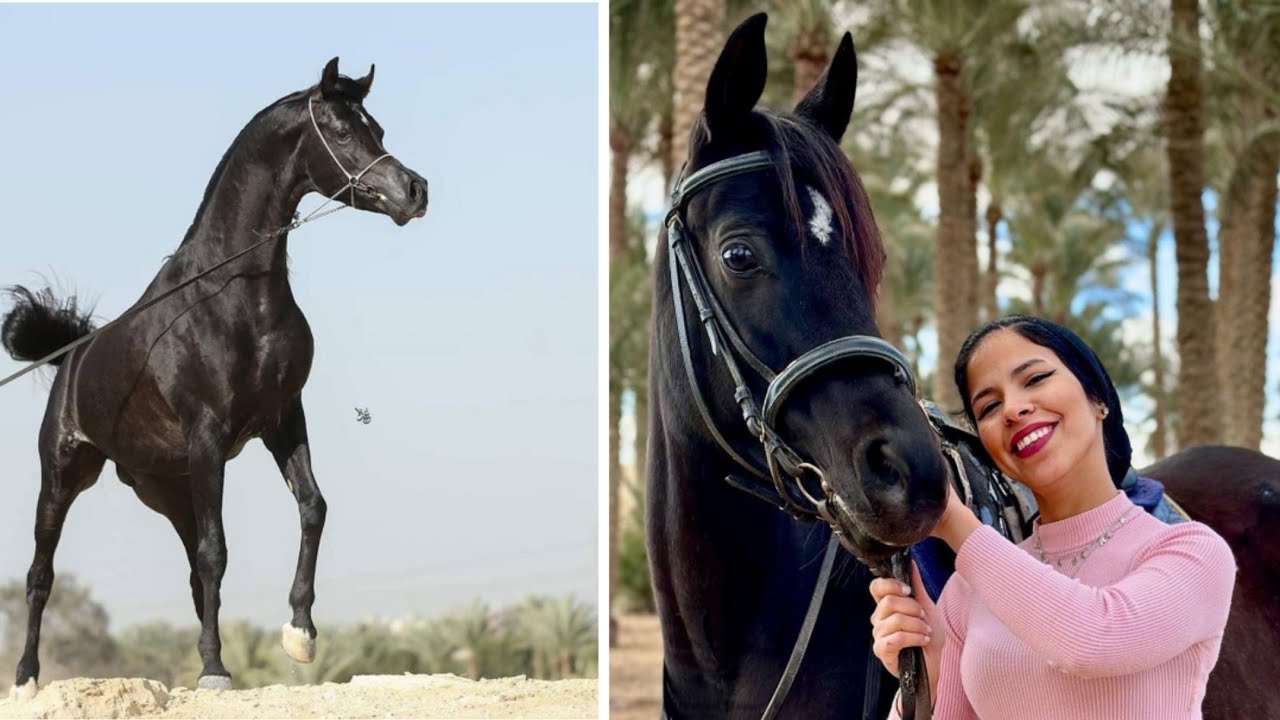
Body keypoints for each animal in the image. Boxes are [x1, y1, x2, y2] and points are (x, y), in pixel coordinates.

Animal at [0, 57, 428, 694]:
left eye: (377, 128)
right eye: (343, 132)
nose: (415, 191)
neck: (233, 295)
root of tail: (67, 359)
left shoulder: (282, 420)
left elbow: (311, 509)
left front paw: (300, 635)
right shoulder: (209, 433)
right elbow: (216, 554)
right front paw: (213, 672)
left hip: (173, 489)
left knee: (191, 568)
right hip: (64, 478)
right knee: (40, 576)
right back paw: (27, 678)